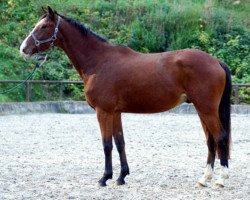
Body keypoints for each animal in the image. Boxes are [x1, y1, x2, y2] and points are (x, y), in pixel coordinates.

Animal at [20, 6, 231, 188]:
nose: (23, 48)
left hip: (206, 109)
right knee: (210, 141)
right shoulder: (115, 112)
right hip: (202, 109)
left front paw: (104, 178)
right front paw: (121, 177)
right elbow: (119, 142)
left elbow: (106, 144)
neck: (99, 62)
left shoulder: (103, 112)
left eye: (44, 26)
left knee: (220, 137)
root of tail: (216, 61)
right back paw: (204, 179)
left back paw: (221, 180)